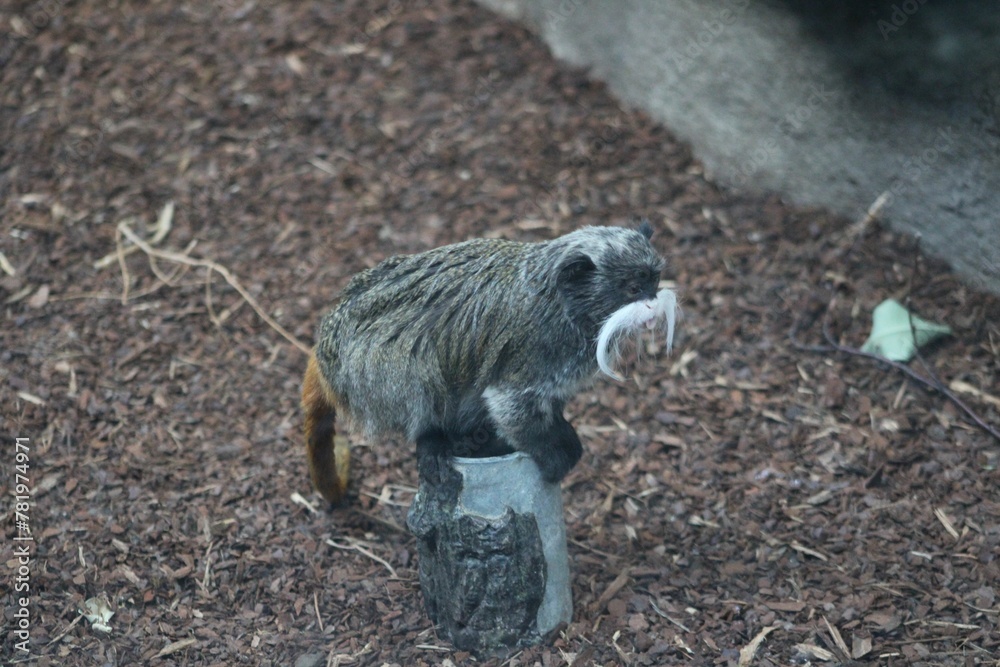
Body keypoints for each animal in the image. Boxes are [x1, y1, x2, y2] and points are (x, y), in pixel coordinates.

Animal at [302, 221, 678, 505]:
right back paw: (431, 439)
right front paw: (555, 452)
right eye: (633, 288)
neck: (564, 305)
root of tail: (327, 341)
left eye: (654, 281)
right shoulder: (536, 351)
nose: (653, 307)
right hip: (363, 368)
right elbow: (508, 405)